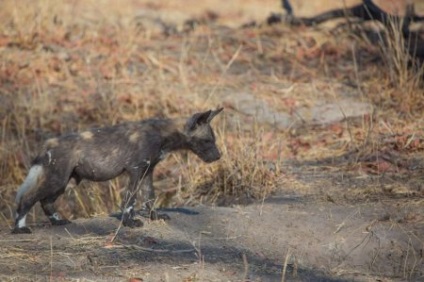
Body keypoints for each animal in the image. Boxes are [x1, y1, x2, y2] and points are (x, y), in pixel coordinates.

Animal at [12, 108, 224, 234]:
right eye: (207, 141)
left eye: (213, 140)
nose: (219, 156)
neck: (163, 135)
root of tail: (48, 143)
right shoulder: (136, 170)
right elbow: (130, 201)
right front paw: (129, 222)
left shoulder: (147, 172)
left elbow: (149, 198)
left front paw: (154, 217)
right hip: (56, 179)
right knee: (28, 199)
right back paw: (20, 228)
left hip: (63, 182)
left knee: (46, 202)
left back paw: (57, 222)